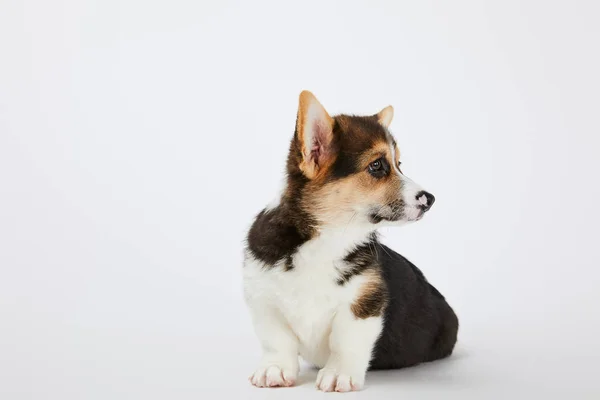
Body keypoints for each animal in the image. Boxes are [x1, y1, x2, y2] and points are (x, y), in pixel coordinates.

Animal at [241, 90, 458, 390]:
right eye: (377, 166)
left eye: (399, 165)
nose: (430, 200)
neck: (328, 236)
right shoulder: (263, 297)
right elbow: (276, 339)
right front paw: (274, 369)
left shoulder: (363, 303)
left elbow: (345, 341)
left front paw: (338, 374)